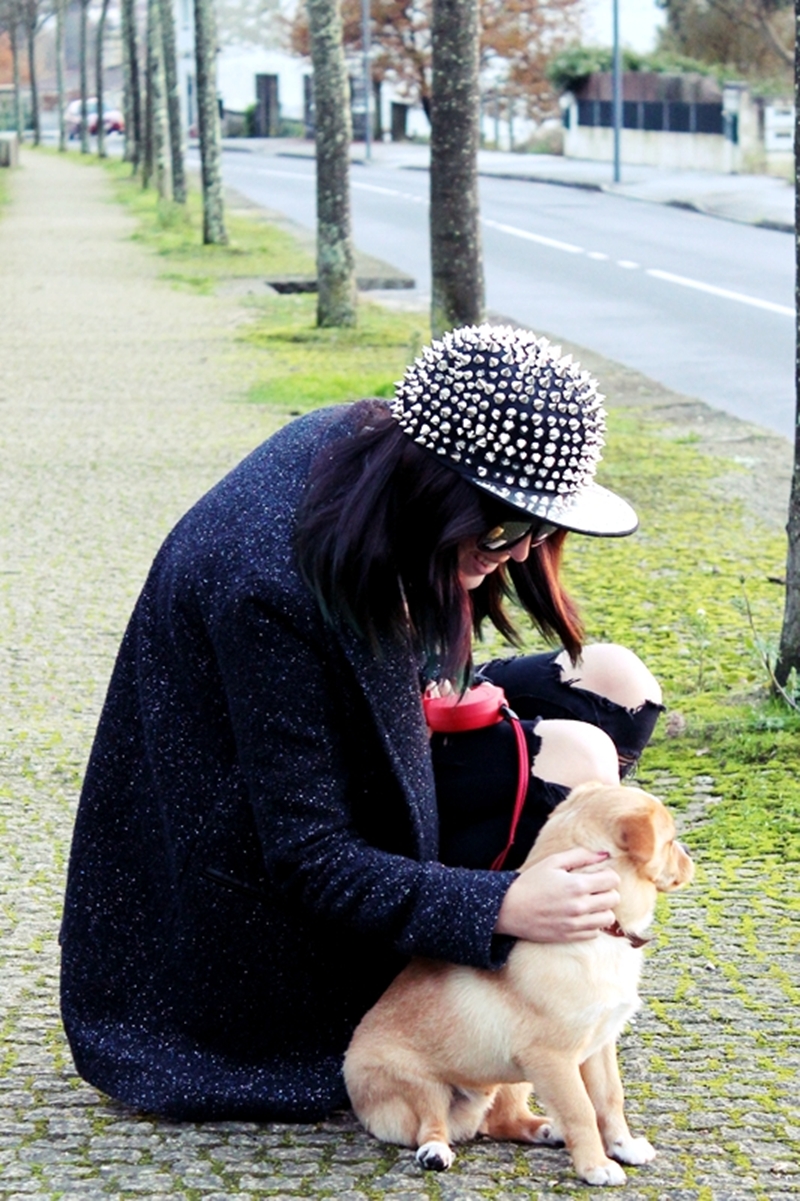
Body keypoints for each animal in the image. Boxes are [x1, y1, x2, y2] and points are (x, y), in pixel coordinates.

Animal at [344, 781, 694, 1187]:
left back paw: (545, 1129)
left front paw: (623, 1146)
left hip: (513, 1077)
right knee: (430, 1125)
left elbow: (609, 1100)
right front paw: (596, 1166)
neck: (605, 935)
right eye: (671, 842)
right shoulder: (554, 1059)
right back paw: (435, 1152)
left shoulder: (599, 1048)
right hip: (422, 1085)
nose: (690, 855)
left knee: (501, 1121)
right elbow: (581, 1111)